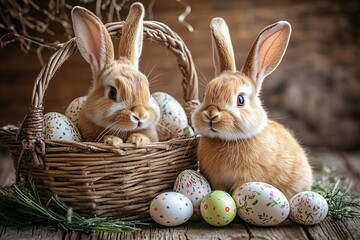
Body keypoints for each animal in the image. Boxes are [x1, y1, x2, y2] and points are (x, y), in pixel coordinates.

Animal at [191, 18, 312, 199]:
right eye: (206, 94)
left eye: (240, 100)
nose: (211, 114)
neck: (229, 141)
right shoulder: (216, 179)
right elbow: (220, 189)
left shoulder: (248, 177)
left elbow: (239, 189)